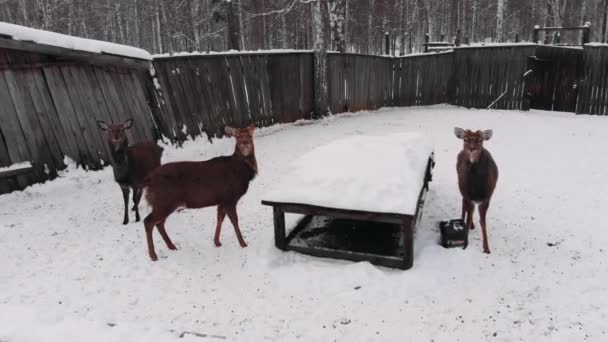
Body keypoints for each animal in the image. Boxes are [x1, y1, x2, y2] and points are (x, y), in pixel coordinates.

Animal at [142, 125, 256, 262]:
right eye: (237, 136)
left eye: (250, 135)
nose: (245, 143)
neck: (242, 173)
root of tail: (148, 180)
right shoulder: (230, 197)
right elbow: (234, 220)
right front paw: (243, 243)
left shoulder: (222, 200)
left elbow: (220, 218)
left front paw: (217, 242)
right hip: (164, 201)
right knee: (148, 221)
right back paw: (153, 255)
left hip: (165, 203)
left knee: (159, 223)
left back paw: (171, 246)